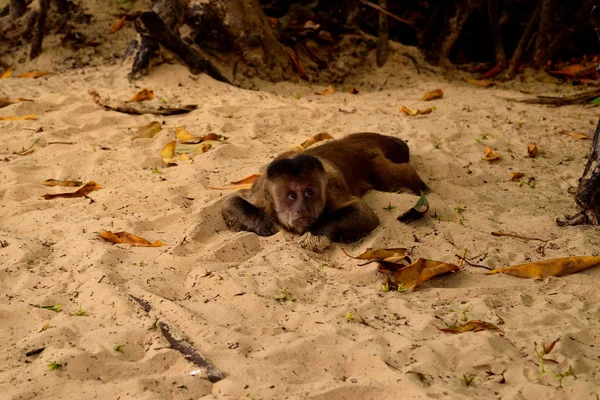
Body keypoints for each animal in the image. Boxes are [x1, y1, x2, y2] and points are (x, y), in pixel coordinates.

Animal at [220, 133, 426, 252]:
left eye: (309, 193)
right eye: (291, 196)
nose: (303, 209)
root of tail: (353, 141)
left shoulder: (331, 191)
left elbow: (365, 214)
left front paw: (316, 234)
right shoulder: (262, 196)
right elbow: (230, 202)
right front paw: (264, 223)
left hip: (373, 159)